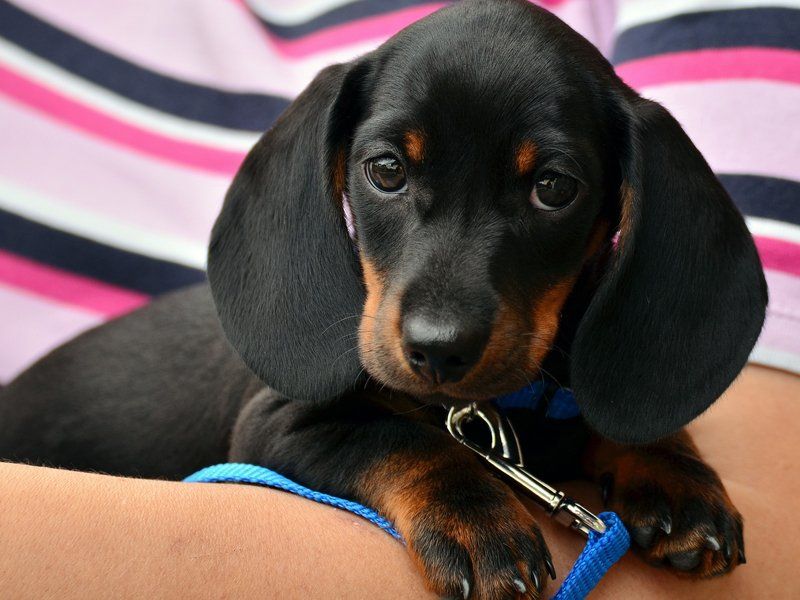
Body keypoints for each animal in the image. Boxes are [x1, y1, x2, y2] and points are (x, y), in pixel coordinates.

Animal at [0, 2, 764, 596]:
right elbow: (400, 438)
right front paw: (478, 518)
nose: (437, 350)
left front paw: (673, 472)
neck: (496, 412)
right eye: (387, 170)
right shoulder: (275, 426)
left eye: (554, 187)